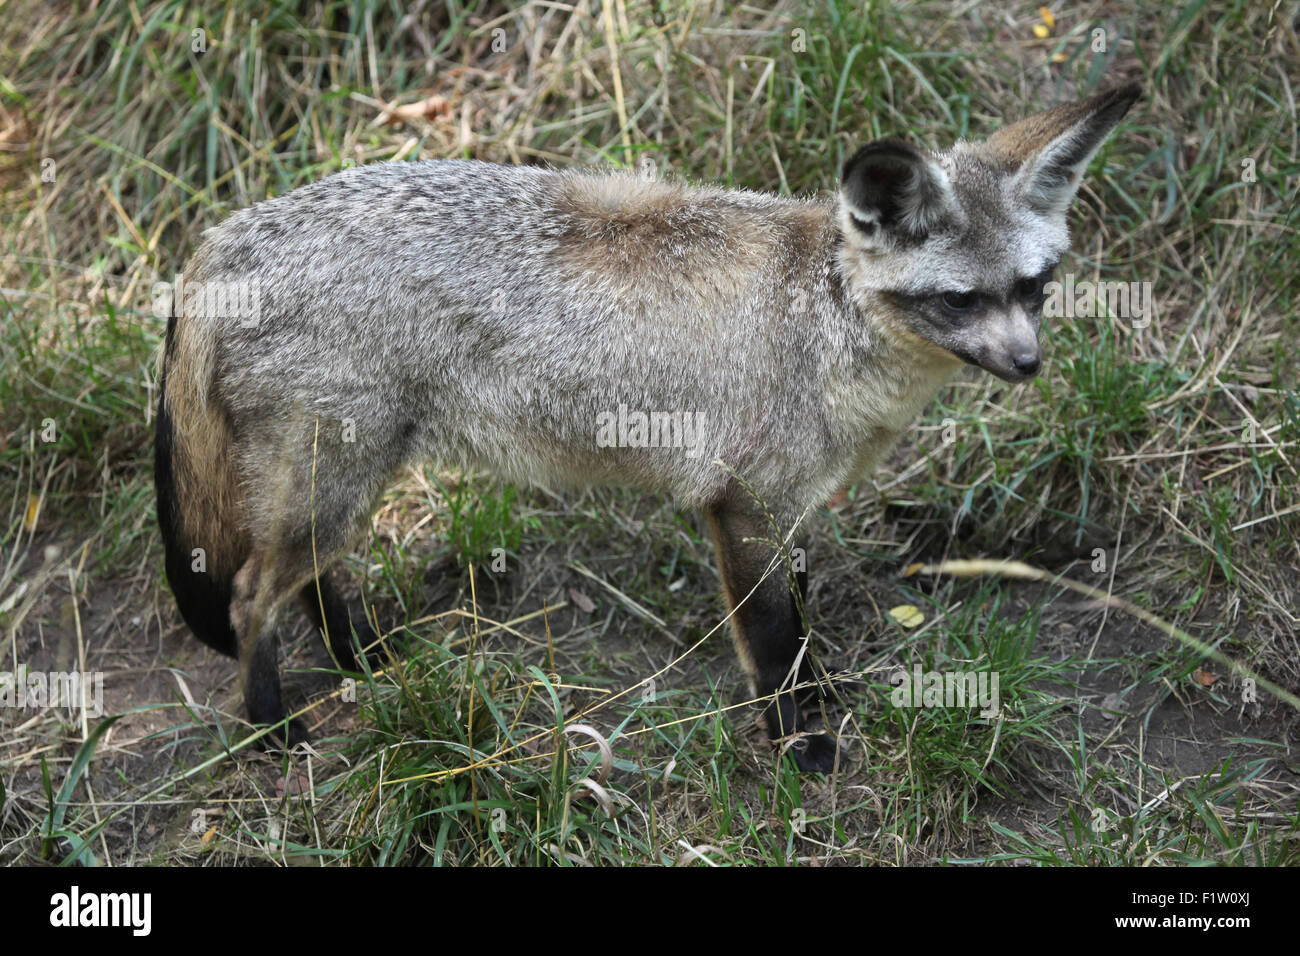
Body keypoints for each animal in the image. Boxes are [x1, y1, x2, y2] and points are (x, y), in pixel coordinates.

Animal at [154, 83, 1140, 772]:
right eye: (960, 300)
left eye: (1034, 288)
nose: (1029, 364)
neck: (822, 324)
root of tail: (220, 237)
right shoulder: (739, 503)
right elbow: (772, 642)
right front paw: (799, 745)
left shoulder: (790, 506)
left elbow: (801, 629)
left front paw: (821, 697)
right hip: (335, 476)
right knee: (249, 597)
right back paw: (270, 729)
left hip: (341, 482)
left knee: (309, 582)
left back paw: (365, 660)